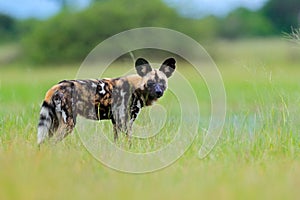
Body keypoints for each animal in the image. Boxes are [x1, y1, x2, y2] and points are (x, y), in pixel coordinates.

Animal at [37, 57, 176, 144]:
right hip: (68, 124)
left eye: (162, 82)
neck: (136, 87)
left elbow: (116, 140)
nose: (158, 92)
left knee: (44, 143)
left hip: (54, 124)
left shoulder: (116, 121)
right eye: (150, 82)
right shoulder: (125, 121)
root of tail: (57, 86)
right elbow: (128, 141)